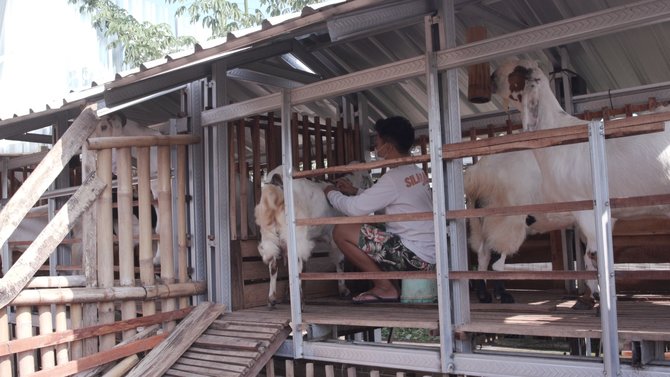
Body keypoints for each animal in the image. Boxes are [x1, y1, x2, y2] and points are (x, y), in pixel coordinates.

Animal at [256, 164, 376, 306]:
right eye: (368, 177)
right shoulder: (334, 235)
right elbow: (339, 261)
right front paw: (343, 290)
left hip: (268, 236)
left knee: (273, 265)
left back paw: (272, 298)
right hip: (296, 236)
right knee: (296, 264)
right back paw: (300, 300)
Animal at [490, 58, 670, 306]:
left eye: (518, 71)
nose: (492, 77)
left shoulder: (587, 208)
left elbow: (595, 256)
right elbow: (590, 257)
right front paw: (595, 297)